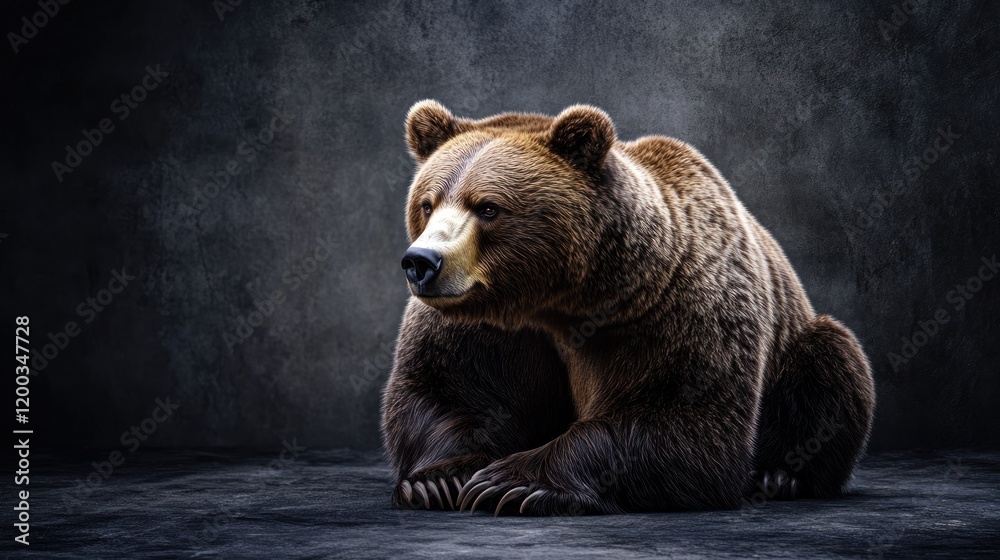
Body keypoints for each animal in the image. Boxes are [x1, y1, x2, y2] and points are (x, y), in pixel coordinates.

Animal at [380, 100, 876, 515]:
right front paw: (440, 479)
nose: (421, 262)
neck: (556, 302)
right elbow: (446, 389)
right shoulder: (484, 327)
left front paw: (513, 482)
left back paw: (779, 476)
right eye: (428, 203)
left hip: (797, 341)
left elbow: (684, 422)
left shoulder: (673, 311)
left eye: (488, 207)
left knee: (830, 365)